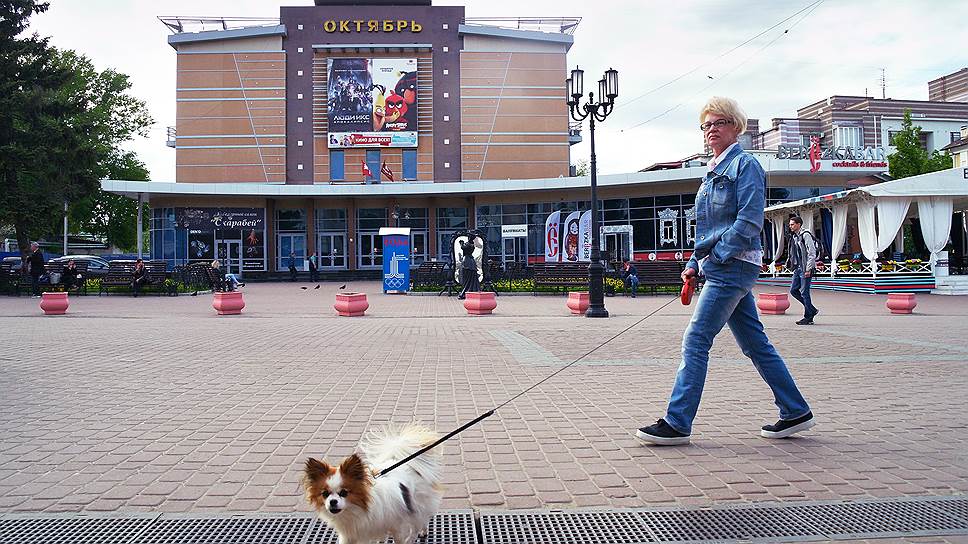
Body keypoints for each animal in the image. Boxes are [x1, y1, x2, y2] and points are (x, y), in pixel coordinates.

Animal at [300, 424, 444, 544]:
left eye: (344, 493)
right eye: (325, 494)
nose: (333, 502)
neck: (356, 511)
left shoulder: (396, 525)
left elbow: (400, 538)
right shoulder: (349, 535)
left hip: (417, 504)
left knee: (419, 522)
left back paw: (419, 533)